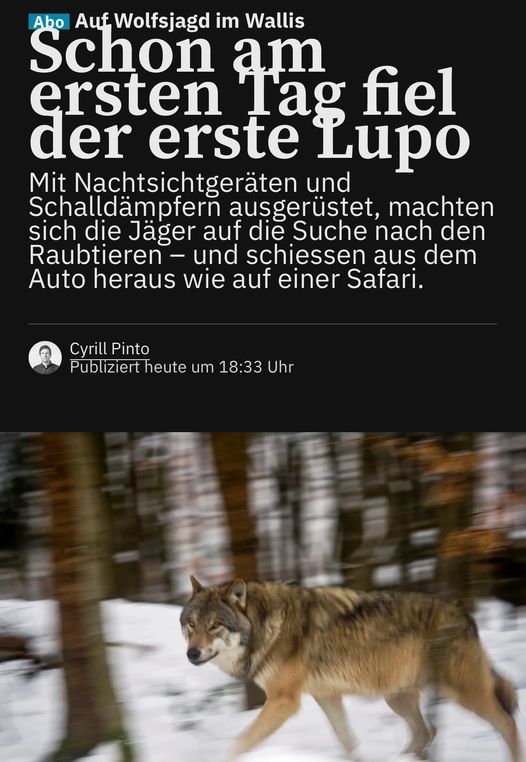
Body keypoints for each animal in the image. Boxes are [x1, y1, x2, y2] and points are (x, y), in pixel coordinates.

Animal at [180, 577, 523, 761]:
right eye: (192, 624)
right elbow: (347, 741)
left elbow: (240, 742)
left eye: (215, 626)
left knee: (507, 725)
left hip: (463, 693)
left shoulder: (284, 702)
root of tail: (465, 615)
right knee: (426, 732)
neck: (265, 626)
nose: (192, 653)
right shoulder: (326, 696)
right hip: (396, 699)